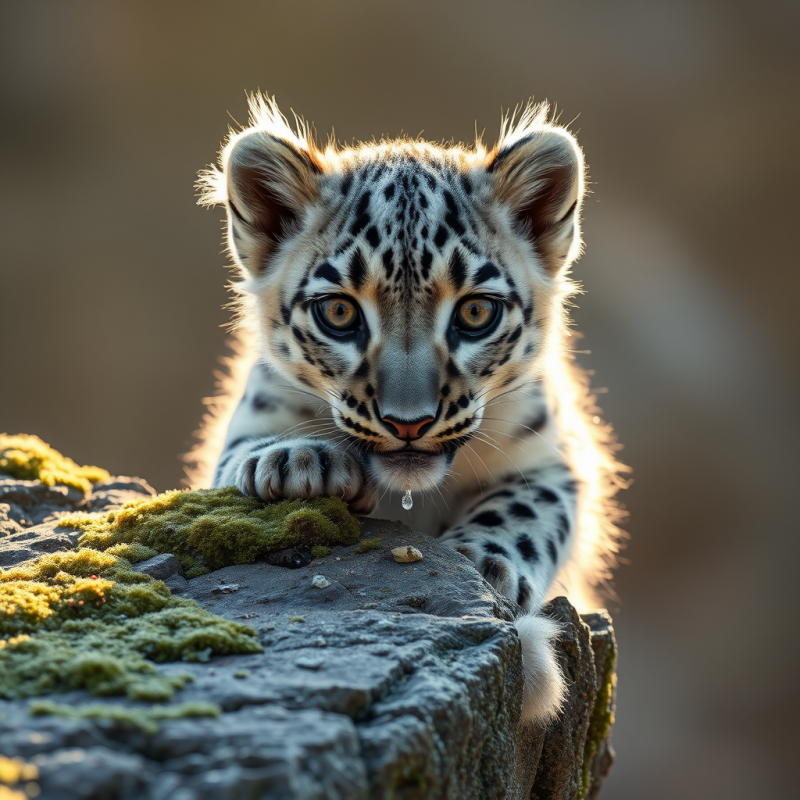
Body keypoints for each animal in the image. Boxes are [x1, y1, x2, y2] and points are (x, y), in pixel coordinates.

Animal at [190, 95, 625, 725]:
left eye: (475, 313)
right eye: (339, 312)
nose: (408, 422)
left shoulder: (553, 459)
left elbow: (531, 510)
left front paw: (484, 564)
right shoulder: (247, 421)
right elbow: (243, 455)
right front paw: (297, 462)